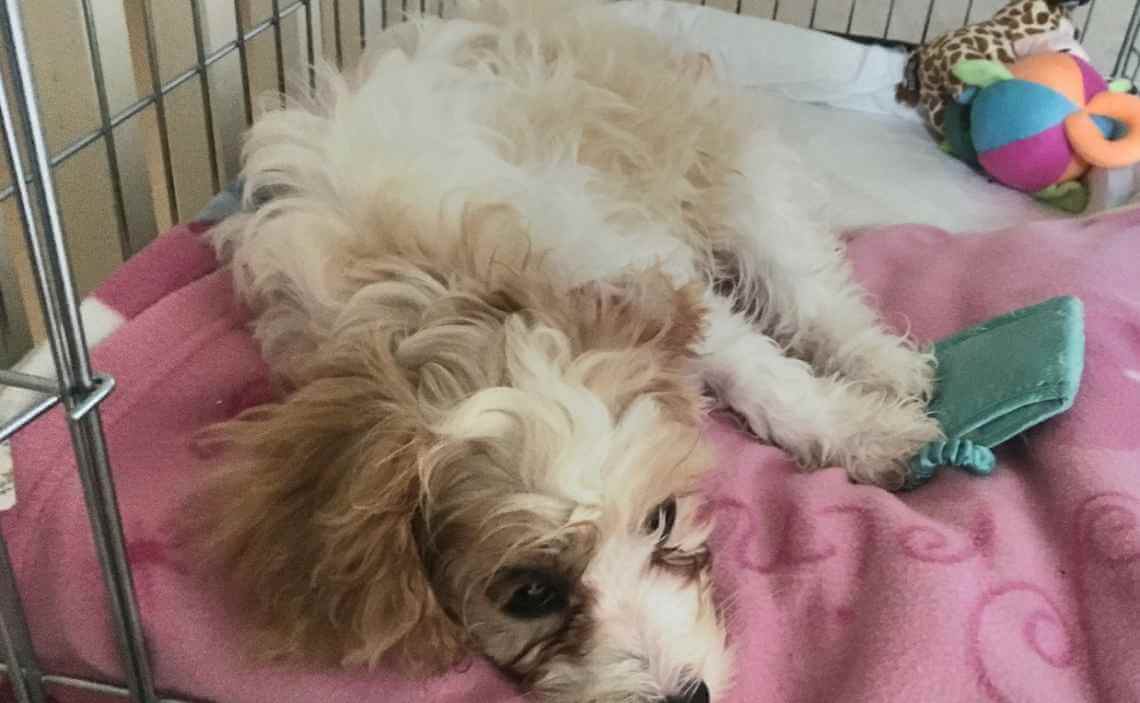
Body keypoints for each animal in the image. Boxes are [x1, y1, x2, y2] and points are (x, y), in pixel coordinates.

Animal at [202, 2, 934, 697]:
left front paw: (858, 431)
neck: (449, 284)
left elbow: (755, 366)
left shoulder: (629, 259)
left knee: (808, 283)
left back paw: (883, 365)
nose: (684, 695)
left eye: (663, 519)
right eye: (531, 594)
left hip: (729, 174)